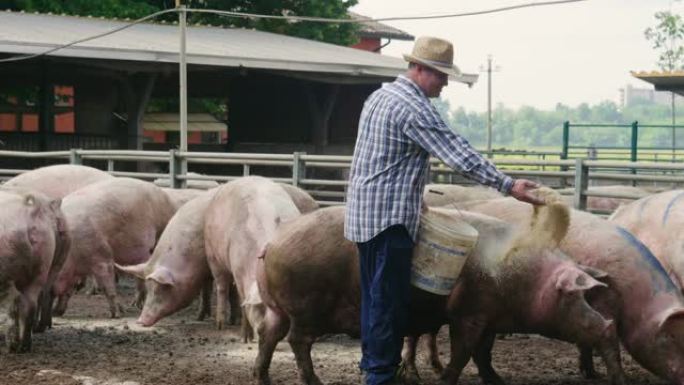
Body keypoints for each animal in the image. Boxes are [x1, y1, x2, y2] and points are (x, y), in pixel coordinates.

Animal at [0, 189, 67, 352]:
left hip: (5, 271)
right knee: (32, 303)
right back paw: (25, 345)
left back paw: (12, 346)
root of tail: (30, 213)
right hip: (44, 267)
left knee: (14, 302)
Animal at [52, 177, 175, 318]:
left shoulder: (101, 256)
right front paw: (57, 312)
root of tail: (165, 196)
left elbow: (107, 285)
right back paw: (135, 305)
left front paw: (116, 314)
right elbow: (67, 291)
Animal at [460, 196, 684, 382]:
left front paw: (592, 374)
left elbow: (587, 339)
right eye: (671, 338)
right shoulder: (602, 299)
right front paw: (619, 379)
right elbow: (608, 341)